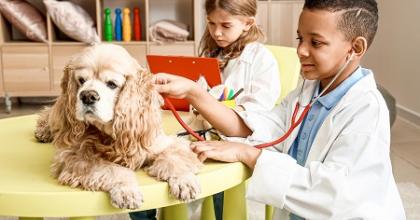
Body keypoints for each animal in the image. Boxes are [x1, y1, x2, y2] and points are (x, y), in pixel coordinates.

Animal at [34, 43, 202, 210]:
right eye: (81, 80)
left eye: (112, 84)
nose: (87, 96)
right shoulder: (75, 157)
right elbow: (114, 169)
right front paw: (127, 190)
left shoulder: (164, 143)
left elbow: (175, 158)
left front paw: (185, 181)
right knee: (50, 114)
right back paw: (43, 131)